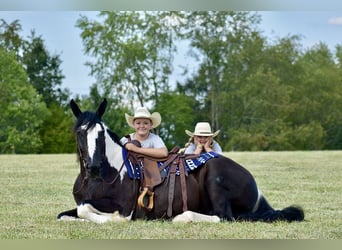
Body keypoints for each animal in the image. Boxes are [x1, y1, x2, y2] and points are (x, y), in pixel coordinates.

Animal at [56, 98, 304, 224]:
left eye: (100, 133)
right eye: (79, 133)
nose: (93, 167)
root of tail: (256, 189)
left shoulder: (125, 208)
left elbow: (93, 212)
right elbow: (68, 214)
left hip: (215, 179)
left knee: (223, 217)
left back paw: (182, 217)